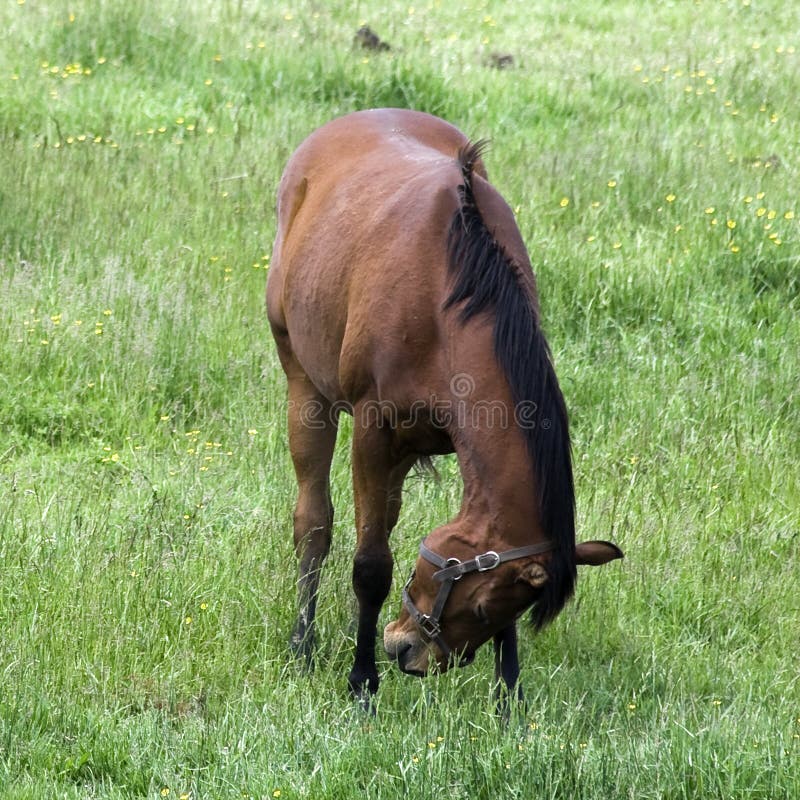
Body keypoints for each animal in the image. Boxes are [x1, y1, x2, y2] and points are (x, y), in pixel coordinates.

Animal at [266, 108, 620, 708]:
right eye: (475, 604)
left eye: (489, 610)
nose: (411, 654)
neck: (451, 295)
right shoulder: (373, 431)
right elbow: (371, 565)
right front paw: (362, 684)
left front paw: (508, 697)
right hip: (305, 387)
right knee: (314, 523)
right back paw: (303, 643)